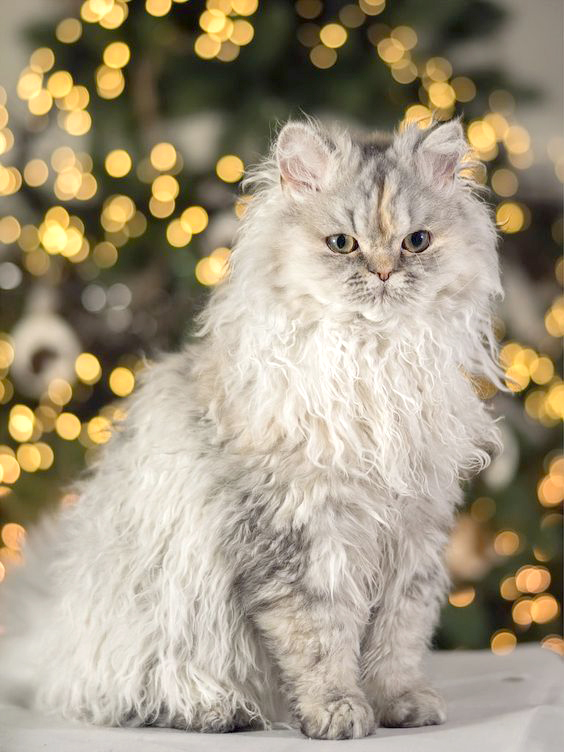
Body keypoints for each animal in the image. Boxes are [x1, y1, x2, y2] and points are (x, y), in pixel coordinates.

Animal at [0, 117, 503, 740]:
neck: (373, 362)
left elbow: (398, 641)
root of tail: (53, 645)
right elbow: (321, 643)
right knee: (141, 689)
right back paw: (218, 711)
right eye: (343, 244)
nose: (385, 273)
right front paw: (337, 712)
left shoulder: (414, 532)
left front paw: (400, 705)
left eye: (417, 242)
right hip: (157, 624)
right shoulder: (300, 536)